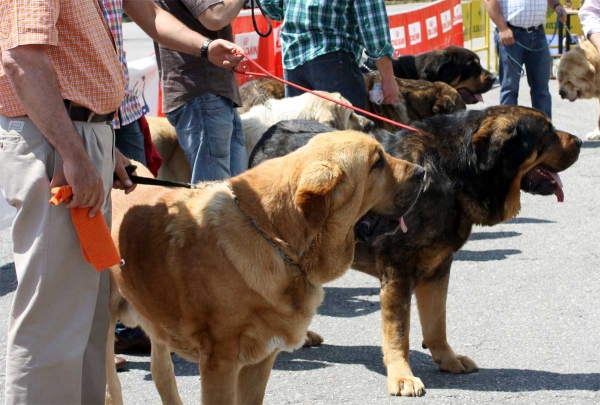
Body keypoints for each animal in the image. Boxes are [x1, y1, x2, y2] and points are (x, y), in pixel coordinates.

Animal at [247, 105, 580, 396]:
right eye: (547, 132)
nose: (577, 142)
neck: (452, 173)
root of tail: (271, 131)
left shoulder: (438, 268)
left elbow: (436, 323)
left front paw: (448, 360)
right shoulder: (398, 274)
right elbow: (398, 333)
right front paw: (402, 376)